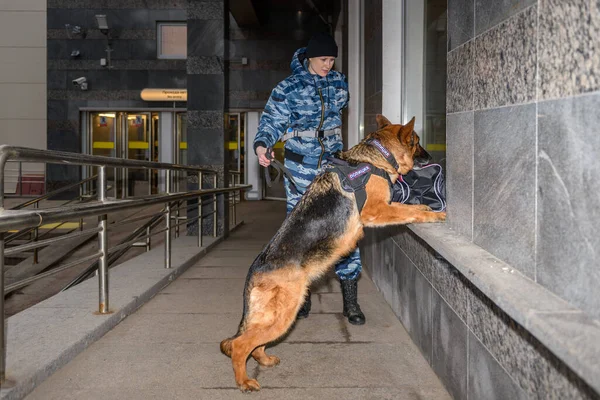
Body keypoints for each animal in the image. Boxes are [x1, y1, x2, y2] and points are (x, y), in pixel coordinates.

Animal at [220, 115, 446, 390]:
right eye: (416, 142)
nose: (431, 155)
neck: (375, 158)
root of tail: (256, 268)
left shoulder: (384, 207)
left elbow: (408, 207)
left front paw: (426, 206)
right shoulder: (377, 211)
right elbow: (407, 211)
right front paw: (435, 214)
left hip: (273, 315)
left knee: (253, 341)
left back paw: (263, 359)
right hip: (285, 314)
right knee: (240, 345)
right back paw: (244, 381)